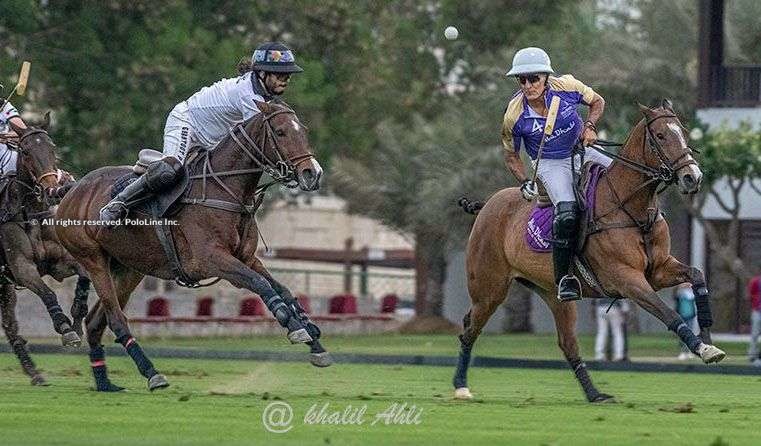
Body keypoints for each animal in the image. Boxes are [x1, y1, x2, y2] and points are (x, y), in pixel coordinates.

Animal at [53, 100, 326, 390]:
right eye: (281, 131)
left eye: (303, 130)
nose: (313, 174)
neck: (224, 189)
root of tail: (72, 190)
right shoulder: (211, 259)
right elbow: (260, 284)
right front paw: (297, 329)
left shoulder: (247, 257)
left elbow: (281, 288)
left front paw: (313, 339)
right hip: (93, 260)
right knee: (116, 318)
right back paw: (152, 373)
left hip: (129, 268)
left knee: (96, 321)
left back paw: (105, 383)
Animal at [452, 101, 724, 400]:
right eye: (661, 136)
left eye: (684, 133)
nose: (692, 177)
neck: (632, 208)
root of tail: (486, 205)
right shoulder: (627, 279)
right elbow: (670, 313)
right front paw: (702, 349)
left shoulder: (659, 270)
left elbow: (697, 275)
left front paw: (708, 336)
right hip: (489, 289)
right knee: (469, 329)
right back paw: (461, 386)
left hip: (554, 294)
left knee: (568, 342)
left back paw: (595, 394)